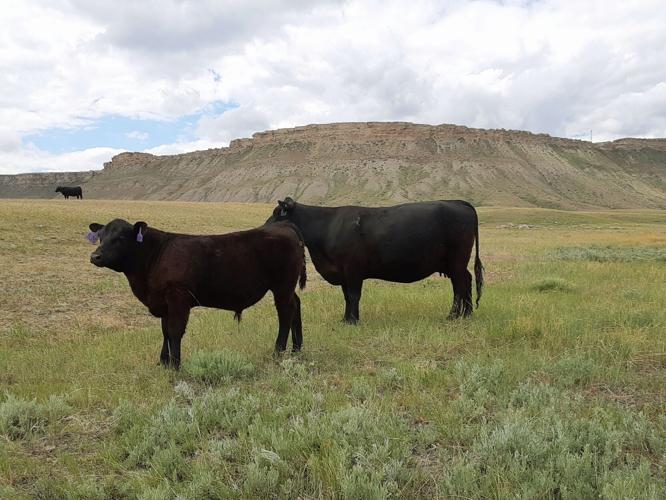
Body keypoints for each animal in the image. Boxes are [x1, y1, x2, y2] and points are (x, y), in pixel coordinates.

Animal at [86, 219, 307, 368]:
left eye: (120, 238)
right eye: (100, 236)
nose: (95, 256)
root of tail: (284, 225)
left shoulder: (178, 298)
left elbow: (174, 331)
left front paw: (175, 365)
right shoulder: (164, 303)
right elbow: (165, 331)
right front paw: (163, 362)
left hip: (282, 286)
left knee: (286, 312)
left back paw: (278, 351)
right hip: (287, 288)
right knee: (296, 305)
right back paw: (296, 348)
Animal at [266, 198, 483, 324]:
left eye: (278, 213)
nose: (264, 227)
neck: (327, 226)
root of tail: (458, 202)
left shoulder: (353, 270)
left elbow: (354, 295)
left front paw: (353, 321)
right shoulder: (343, 273)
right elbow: (347, 297)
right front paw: (346, 319)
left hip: (456, 261)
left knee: (460, 285)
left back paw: (454, 315)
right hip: (454, 264)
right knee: (465, 281)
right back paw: (466, 314)